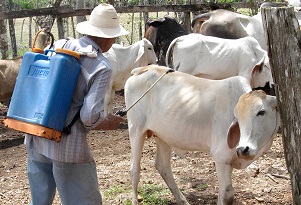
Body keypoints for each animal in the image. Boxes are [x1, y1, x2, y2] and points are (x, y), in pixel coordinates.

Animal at [124, 65, 278, 205]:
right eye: (237, 118)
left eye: (261, 112)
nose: (242, 149)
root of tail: (141, 70)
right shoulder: (221, 157)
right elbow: (227, 195)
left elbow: (221, 194)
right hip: (136, 130)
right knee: (134, 169)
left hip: (163, 136)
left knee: (163, 166)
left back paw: (183, 201)